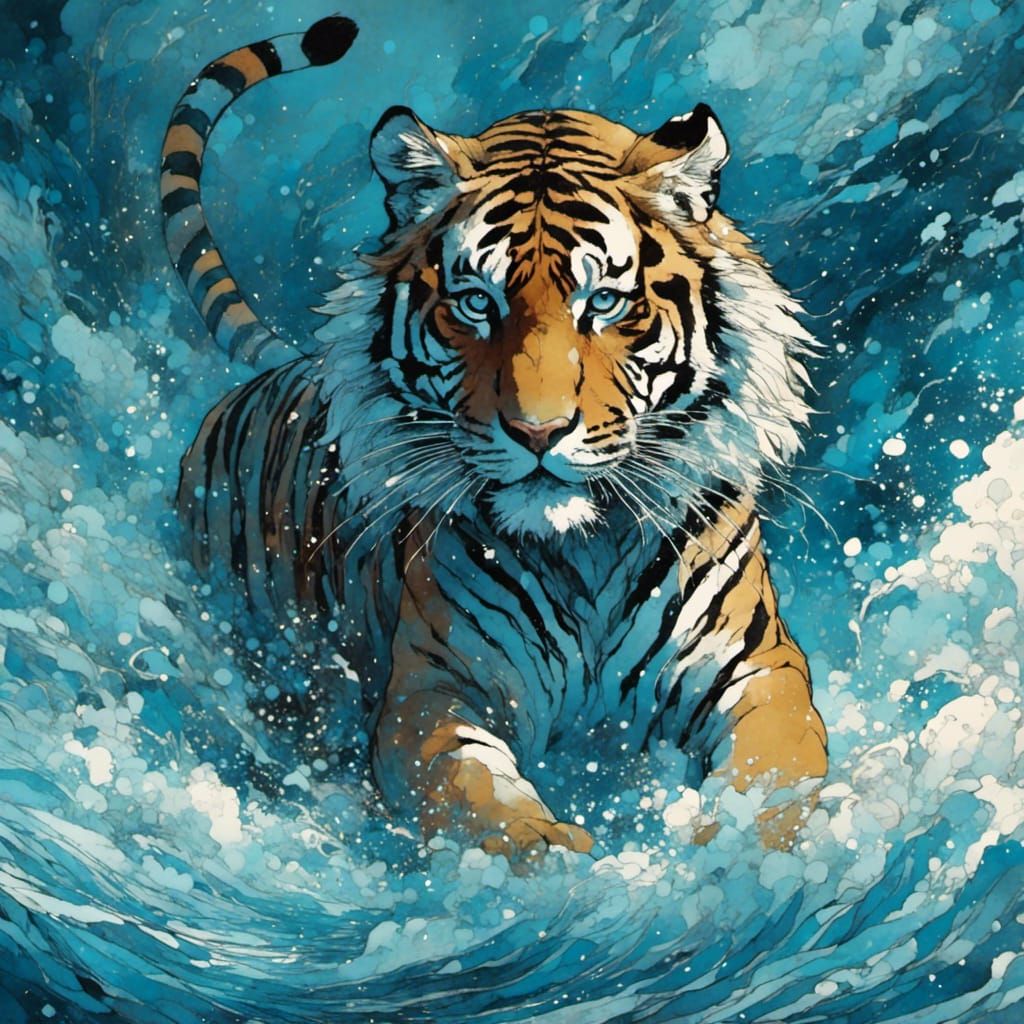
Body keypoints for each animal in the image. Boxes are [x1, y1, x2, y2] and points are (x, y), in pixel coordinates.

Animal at [166, 16, 827, 858]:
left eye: (604, 301)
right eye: (477, 302)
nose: (537, 432)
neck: (585, 550)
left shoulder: (757, 668)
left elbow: (774, 778)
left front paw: (738, 854)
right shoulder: (431, 691)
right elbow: (483, 808)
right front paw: (565, 864)